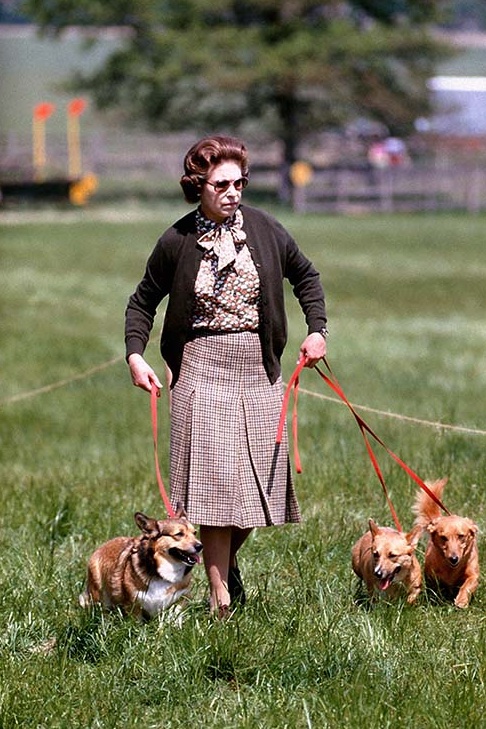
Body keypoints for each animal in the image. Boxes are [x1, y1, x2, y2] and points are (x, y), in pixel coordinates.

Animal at [414, 474, 478, 604]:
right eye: (443, 537)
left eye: (461, 536)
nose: (453, 559)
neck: (451, 570)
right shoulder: (431, 575)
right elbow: (435, 587)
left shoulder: (473, 574)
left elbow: (468, 585)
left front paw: (461, 600)